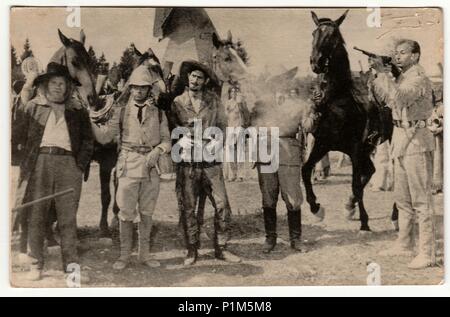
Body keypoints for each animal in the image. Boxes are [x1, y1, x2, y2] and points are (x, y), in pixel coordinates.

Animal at [302, 10, 380, 232]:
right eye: (314, 33)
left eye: (333, 36)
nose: (316, 62)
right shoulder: (323, 143)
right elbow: (305, 170)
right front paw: (316, 208)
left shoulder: (354, 148)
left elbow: (355, 183)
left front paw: (364, 221)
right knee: (370, 171)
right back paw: (349, 205)